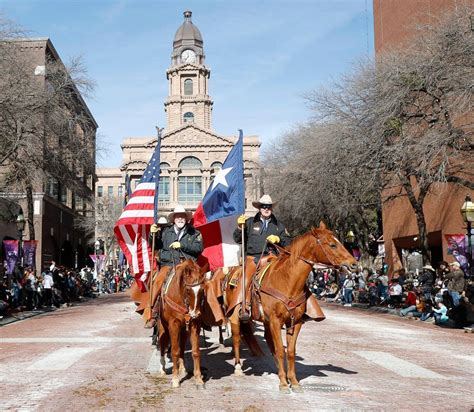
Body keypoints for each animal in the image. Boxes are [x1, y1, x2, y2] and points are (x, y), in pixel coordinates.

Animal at [156, 260, 206, 388]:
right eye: (188, 289)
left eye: (202, 289)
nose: (195, 313)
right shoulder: (173, 325)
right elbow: (174, 351)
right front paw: (175, 379)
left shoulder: (194, 324)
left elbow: (195, 351)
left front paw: (198, 378)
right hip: (163, 327)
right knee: (163, 345)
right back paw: (162, 368)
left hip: (184, 329)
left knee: (182, 346)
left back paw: (182, 368)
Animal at [215, 220, 356, 392]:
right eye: (332, 245)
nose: (353, 264)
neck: (287, 281)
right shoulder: (276, 321)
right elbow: (281, 350)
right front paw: (283, 382)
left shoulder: (295, 322)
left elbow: (290, 351)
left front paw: (293, 381)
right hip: (236, 315)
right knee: (236, 338)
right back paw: (237, 367)